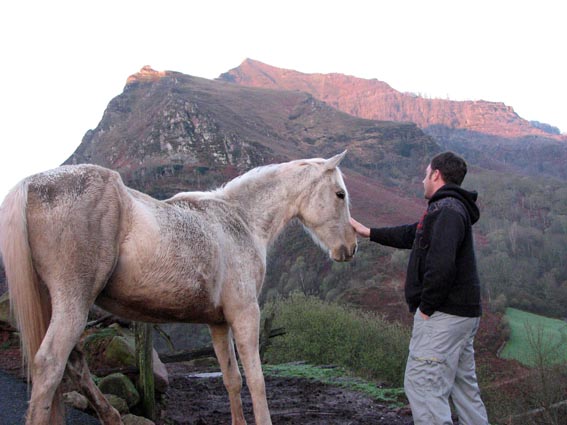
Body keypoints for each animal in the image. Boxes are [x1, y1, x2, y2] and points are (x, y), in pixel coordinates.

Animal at [0, 152, 356, 424]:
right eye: (340, 194)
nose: (350, 248)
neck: (239, 220)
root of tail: (31, 185)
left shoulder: (218, 323)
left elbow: (232, 379)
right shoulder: (245, 314)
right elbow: (256, 381)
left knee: (74, 363)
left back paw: (111, 416)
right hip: (73, 302)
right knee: (50, 364)